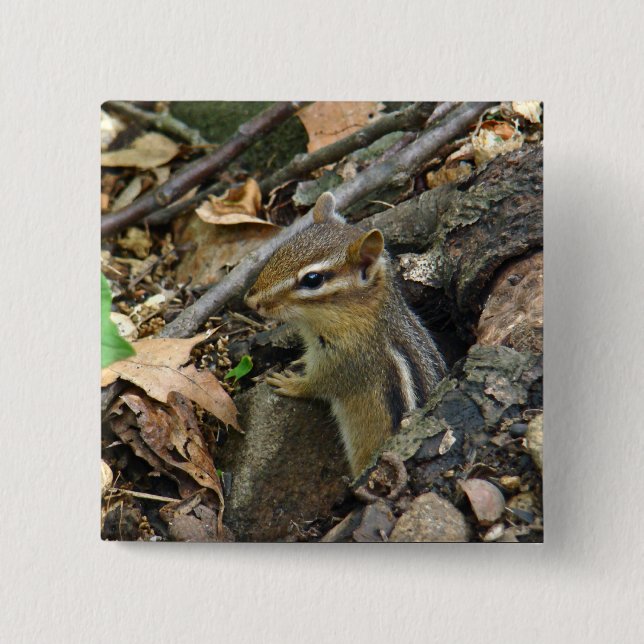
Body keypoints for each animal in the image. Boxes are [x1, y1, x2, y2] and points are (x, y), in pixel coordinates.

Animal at [245, 192, 446, 477]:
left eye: (312, 279)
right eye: (280, 251)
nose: (251, 302)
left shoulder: (349, 360)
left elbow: (320, 384)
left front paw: (290, 383)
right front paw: (300, 361)